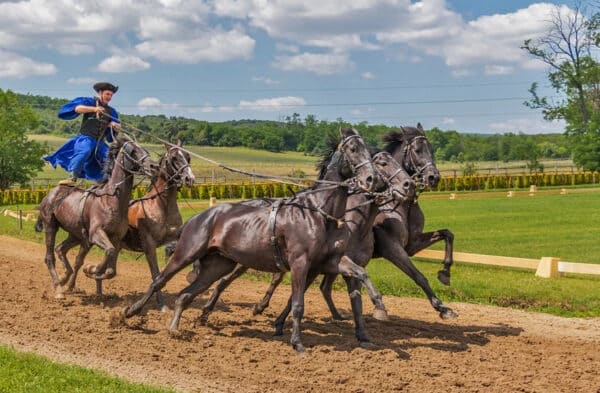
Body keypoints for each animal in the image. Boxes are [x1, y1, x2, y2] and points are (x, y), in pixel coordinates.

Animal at [34, 138, 158, 298]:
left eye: (145, 150)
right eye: (133, 151)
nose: (154, 166)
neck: (111, 200)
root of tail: (49, 195)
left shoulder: (115, 238)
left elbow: (111, 269)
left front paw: (94, 273)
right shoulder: (96, 234)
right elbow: (109, 252)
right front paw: (92, 270)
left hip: (76, 235)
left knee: (61, 249)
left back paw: (64, 278)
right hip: (51, 226)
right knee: (50, 257)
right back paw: (59, 288)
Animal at [120, 141, 196, 310]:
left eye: (188, 156)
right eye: (174, 158)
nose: (189, 179)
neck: (162, 206)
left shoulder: (174, 237)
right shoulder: (149, 245)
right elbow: (155, 274)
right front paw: (161, 305)